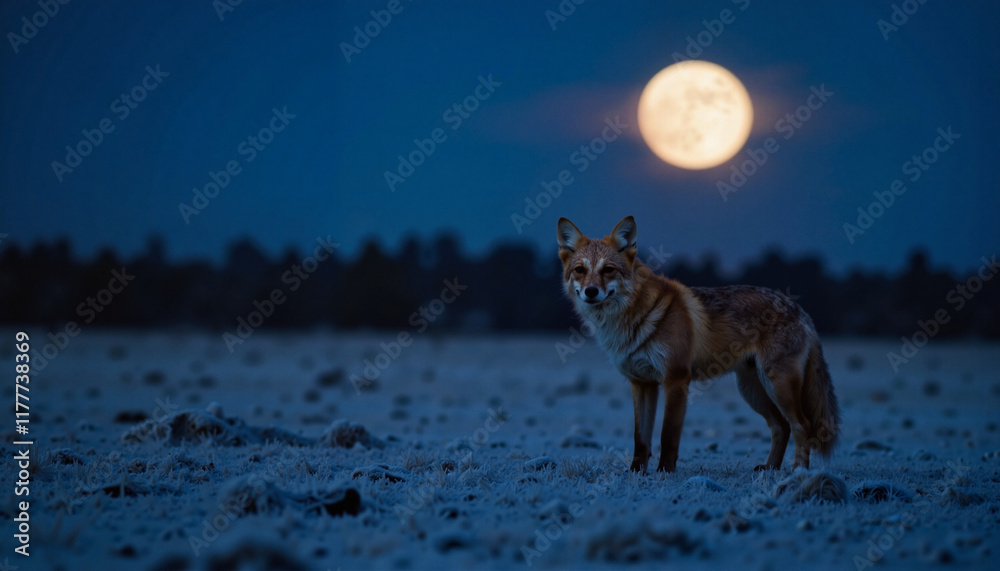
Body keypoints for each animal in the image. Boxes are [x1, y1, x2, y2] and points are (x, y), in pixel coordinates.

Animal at [557, 215, 840, 473]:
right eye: (580, 270)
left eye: (608, 270)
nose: (591, 291)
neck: (630, 323)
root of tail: (799, 309)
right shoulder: (641, 383)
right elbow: (641, 439)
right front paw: (636, 473)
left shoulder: (676, 379)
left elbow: (667, 436)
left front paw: (665, 472)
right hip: (752, 391)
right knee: (781, 426)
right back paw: (770, 468)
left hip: (776, 385)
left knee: (802, 425)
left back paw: (799, 472)